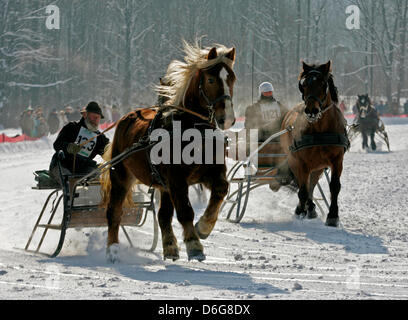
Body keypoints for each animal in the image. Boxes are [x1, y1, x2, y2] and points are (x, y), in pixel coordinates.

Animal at [100, 42, 237, 262]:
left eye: (232, 78)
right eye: (210, 79)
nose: (228, 118)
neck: (193, 130)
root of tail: (126, 118)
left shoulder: (209, 173)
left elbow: (221, 189)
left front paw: (203, 227)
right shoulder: (176, 179)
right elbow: (185, 211)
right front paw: (194, 244)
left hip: (162, 185)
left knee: (163, 215)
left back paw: (170, 246)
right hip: (121, 175)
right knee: (114, 212)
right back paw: (113, 250)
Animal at [282, 61, 350, 228]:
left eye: (322, 84)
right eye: (304, 84)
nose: (311, 110)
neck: (320, 130)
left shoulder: (337, 160)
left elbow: (334, 186)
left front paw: (333, 216)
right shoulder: (301, 162)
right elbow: (303, 190)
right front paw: (300, 211)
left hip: (318, 166)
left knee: (311, 184)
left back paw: (311, 207)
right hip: (295, 161)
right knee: (303, 185)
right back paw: (305, 208)